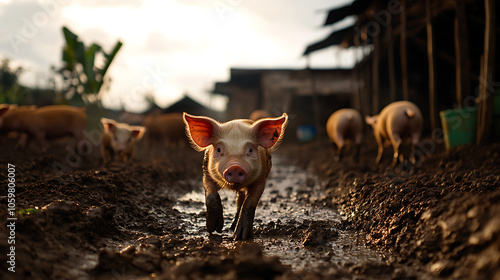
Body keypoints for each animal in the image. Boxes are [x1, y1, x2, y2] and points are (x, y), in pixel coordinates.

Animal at [184, 112, 288, 240]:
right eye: (218, 149)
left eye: (250, 149)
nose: (235, 167)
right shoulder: (206, 175)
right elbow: (211, 194)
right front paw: (214, 229)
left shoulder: (261, 180)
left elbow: (249, 203)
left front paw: (241, 237)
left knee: (240, 201)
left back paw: (233, 228)